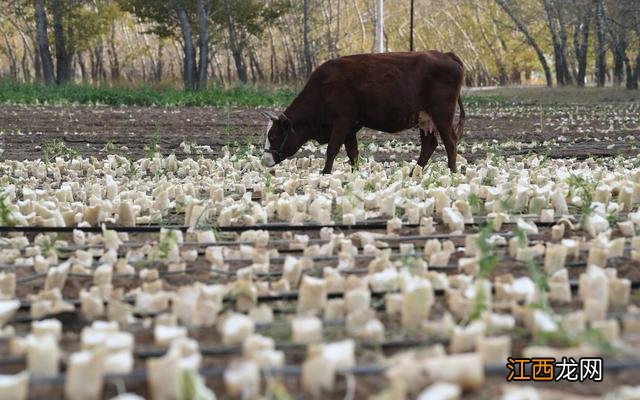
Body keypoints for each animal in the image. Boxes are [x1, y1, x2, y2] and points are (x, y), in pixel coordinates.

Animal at [262, 49, 464, 173]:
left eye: (273, 136)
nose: (264, 160)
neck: (323, 87)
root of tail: (446, 55)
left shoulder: (342, 121)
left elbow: (332, 149)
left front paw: (325, 173)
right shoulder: (350, 128)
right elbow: (353, 153)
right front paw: (355, 174)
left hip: (442, 114)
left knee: (450, 143)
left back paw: (452, 173)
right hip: (425, 119)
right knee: (429, 145)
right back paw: (413, 174)